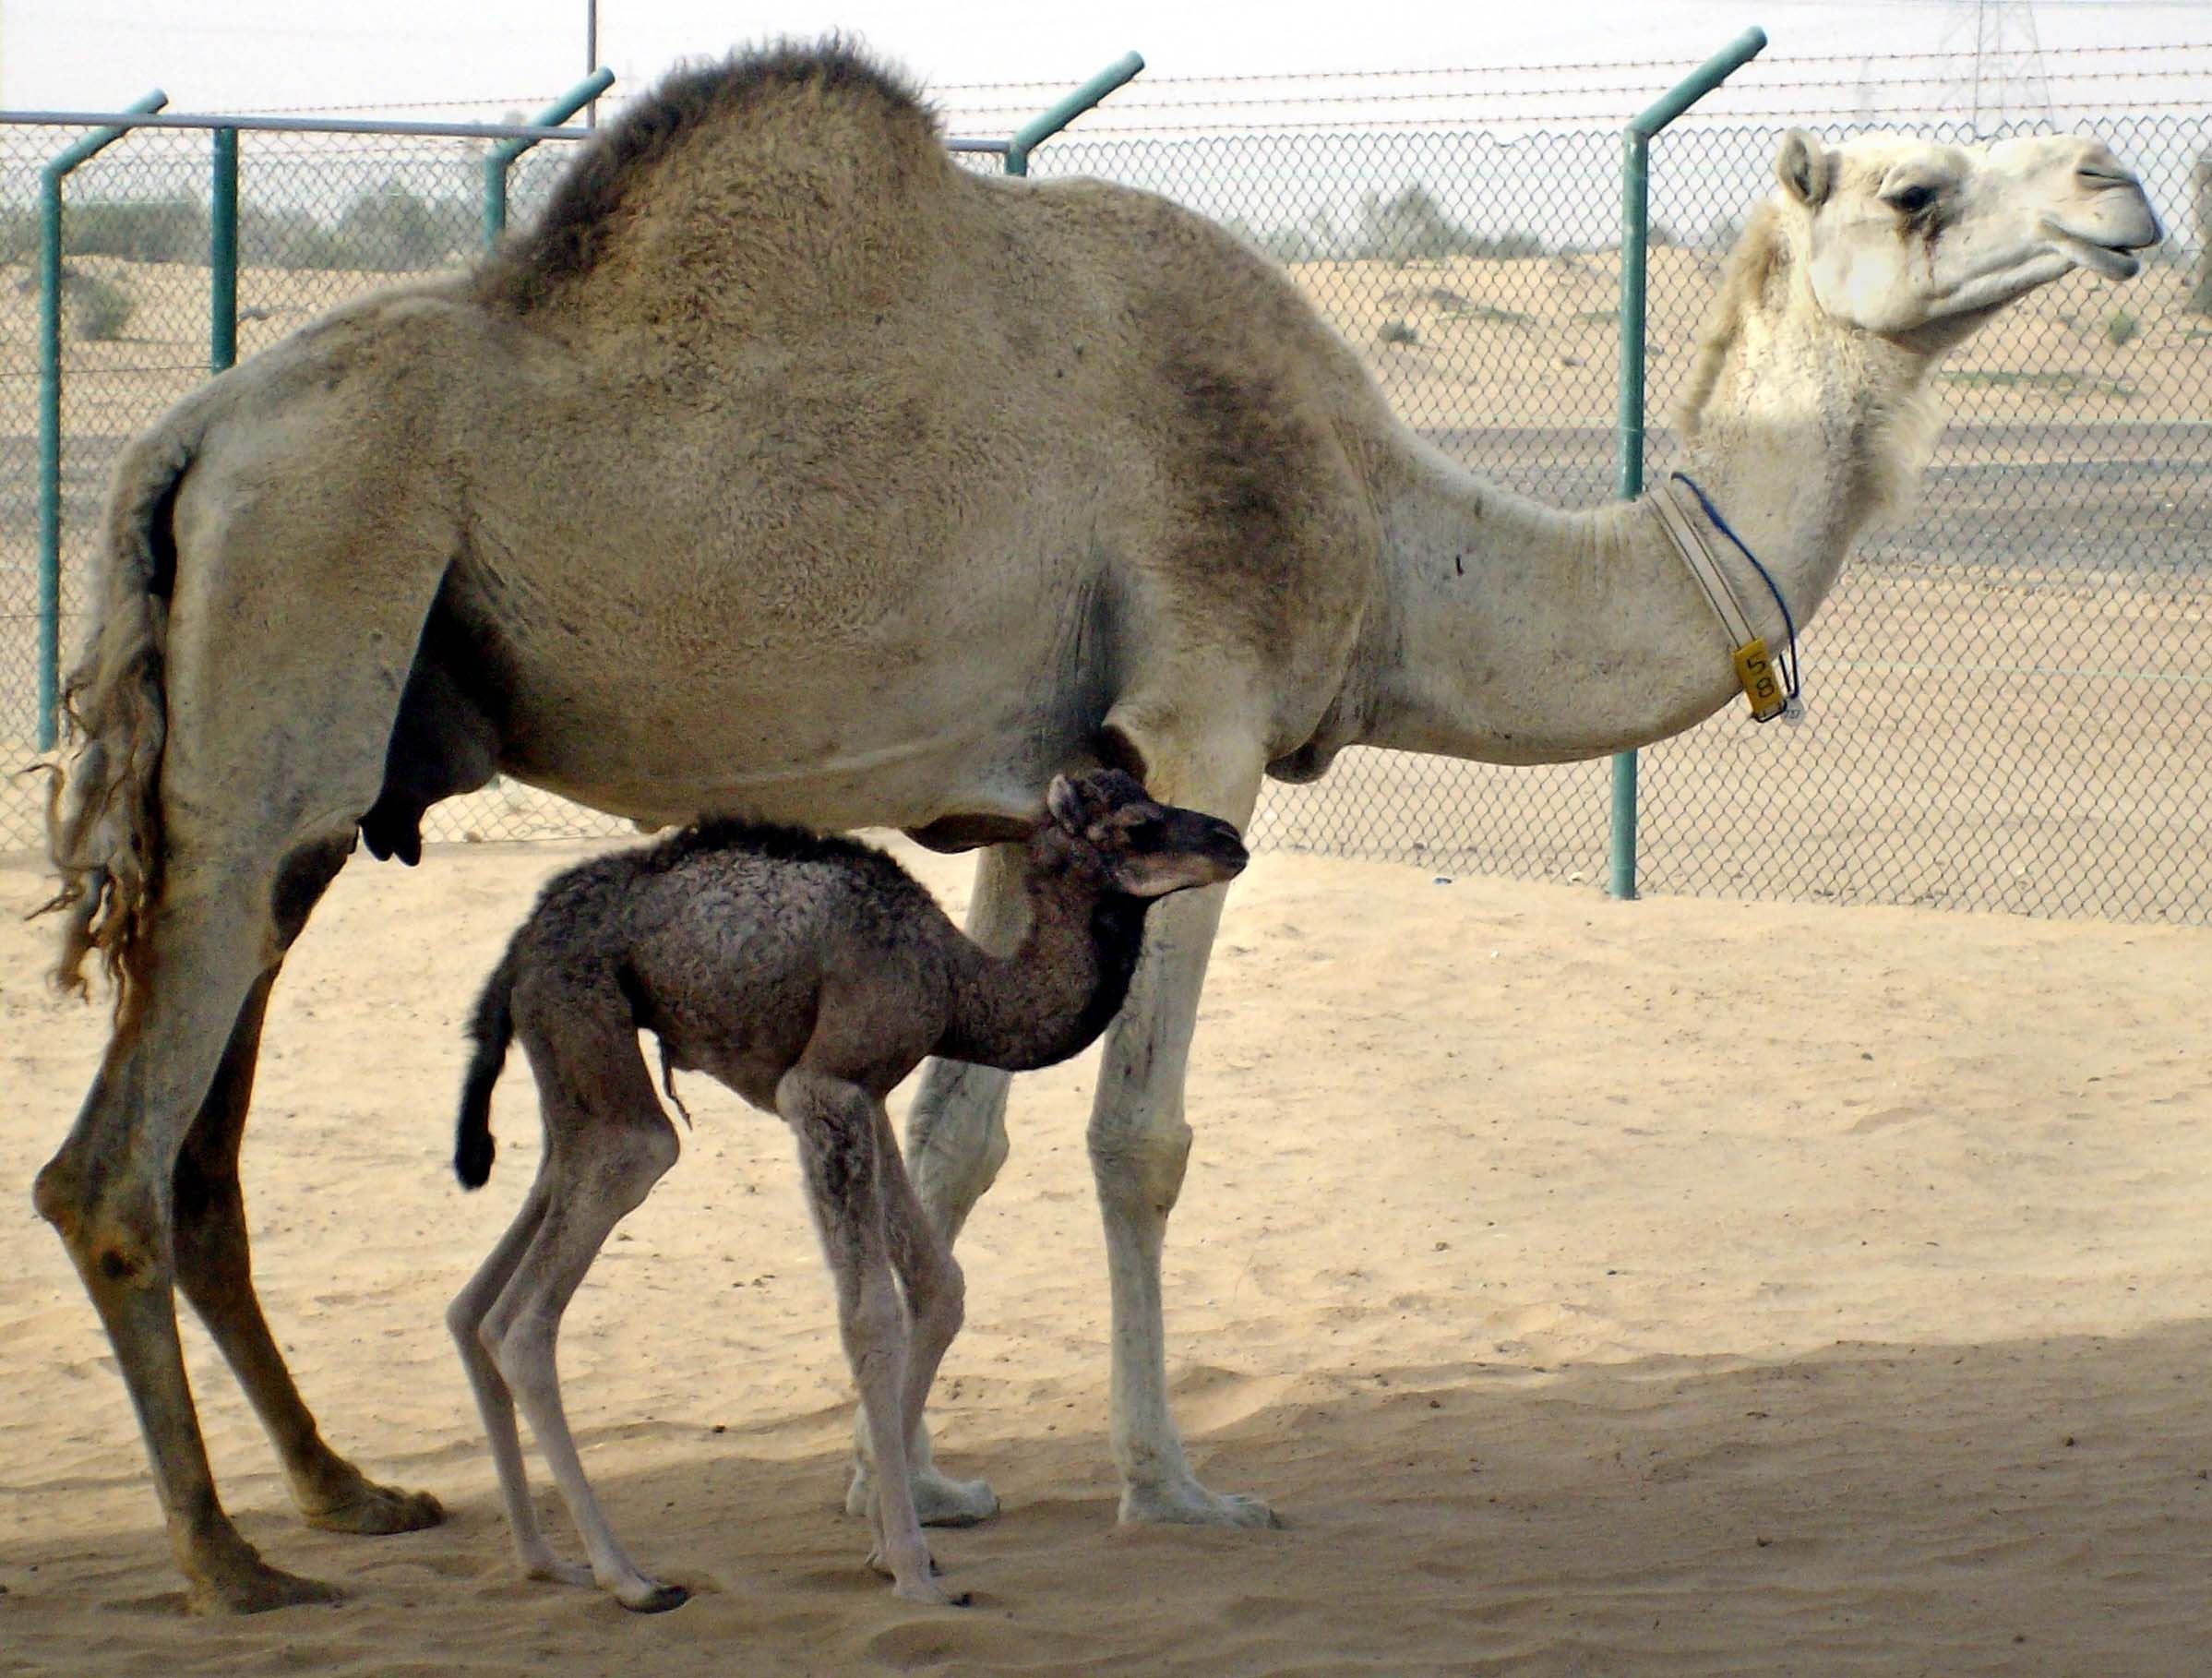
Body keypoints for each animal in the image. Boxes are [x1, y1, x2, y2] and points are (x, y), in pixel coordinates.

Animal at [447, 770, 1247, 1612]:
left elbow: (939, 1284)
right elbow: (870, 1316)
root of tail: (520, 948)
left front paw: (890, 1547)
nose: (1230, 842)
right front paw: (912, 1571)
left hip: (571, 1073)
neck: (958, 985)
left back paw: (544, 1559)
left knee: (479, 1292)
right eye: (1136, 827)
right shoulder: (824, 1086)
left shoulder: (871, 1092)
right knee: (532, 1308)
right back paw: (627, 1576)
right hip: (592, 1031)